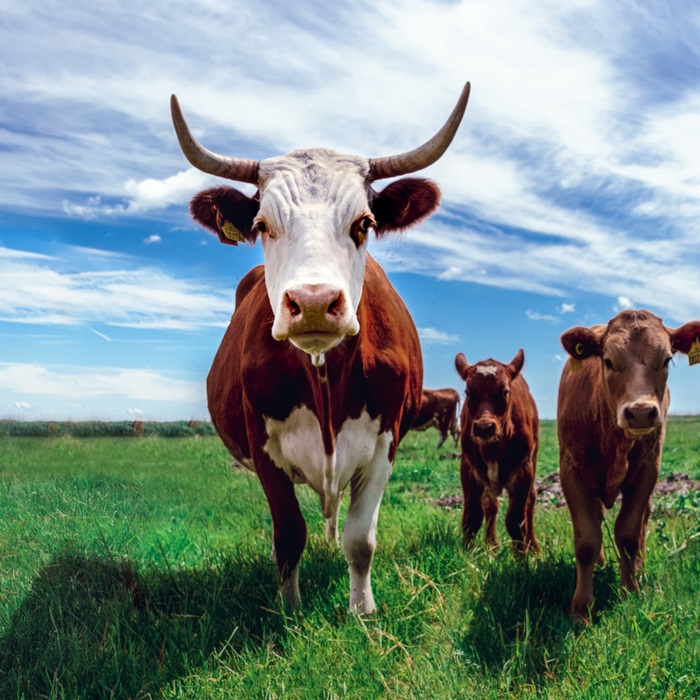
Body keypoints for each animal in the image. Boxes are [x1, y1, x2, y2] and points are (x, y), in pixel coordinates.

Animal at [172, 82, 474, 608]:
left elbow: (361, 538)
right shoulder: (263, 444)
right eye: (262, 225)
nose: (313, 302)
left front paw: (362, 608)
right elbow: (289, 534)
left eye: (364, 223)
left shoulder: (385, 442)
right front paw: (290, 608)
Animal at [454, 348, 540, 556]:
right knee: (490, 505)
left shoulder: (524, 471)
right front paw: (467, 555)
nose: (484, 427)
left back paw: (533, 545)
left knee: (531, 500)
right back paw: (491, 544)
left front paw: (521, 558)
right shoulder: (468, 469)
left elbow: (516, 521)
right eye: (469, 392)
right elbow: (472, 517)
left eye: (505, 391)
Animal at [556, 308, 700, 620]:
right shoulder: (571, 472)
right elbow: (587, 539)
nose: (641, 412)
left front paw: (630, 590)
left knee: (643, 521)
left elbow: (629, 533)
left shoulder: (647, 471)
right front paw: (581, 607)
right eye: (608, 361)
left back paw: (639, 567)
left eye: (667, 359)